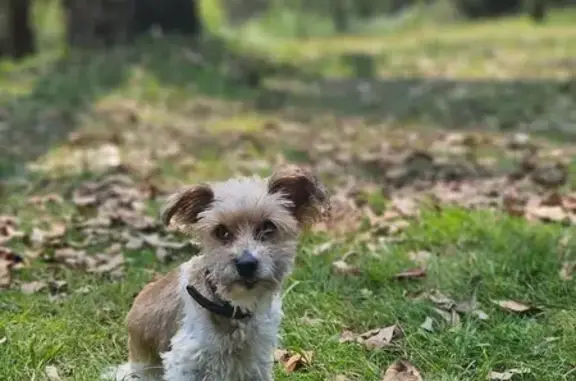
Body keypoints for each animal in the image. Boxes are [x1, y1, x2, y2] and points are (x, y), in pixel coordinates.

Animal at [102, 166, 328, 380]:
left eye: (268, 227)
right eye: (221, 231)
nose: (246, 264)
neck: (233, 308)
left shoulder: (256, 360)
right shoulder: (185, 360)